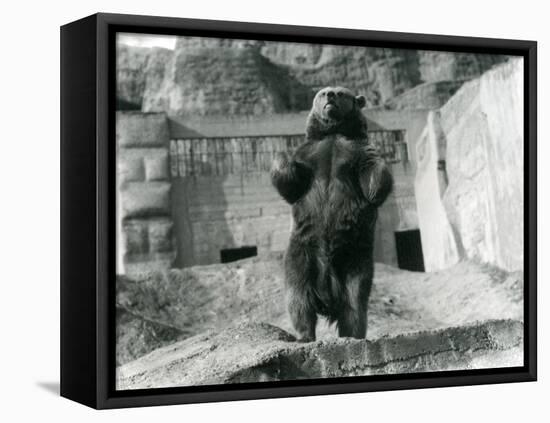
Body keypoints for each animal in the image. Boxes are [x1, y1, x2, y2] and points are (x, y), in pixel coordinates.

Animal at [270, 88, 392, 342]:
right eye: (321, 93)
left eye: (340, 93)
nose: (329, 96)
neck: (334, 132)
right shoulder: (308, 155)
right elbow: (291, 184)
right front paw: (280, 154)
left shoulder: (356, 151)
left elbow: (373, 180)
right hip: (302, 251)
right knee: (298, 296)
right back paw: (304, 334)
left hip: (355, 256)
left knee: (355, 301)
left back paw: (352, 335)